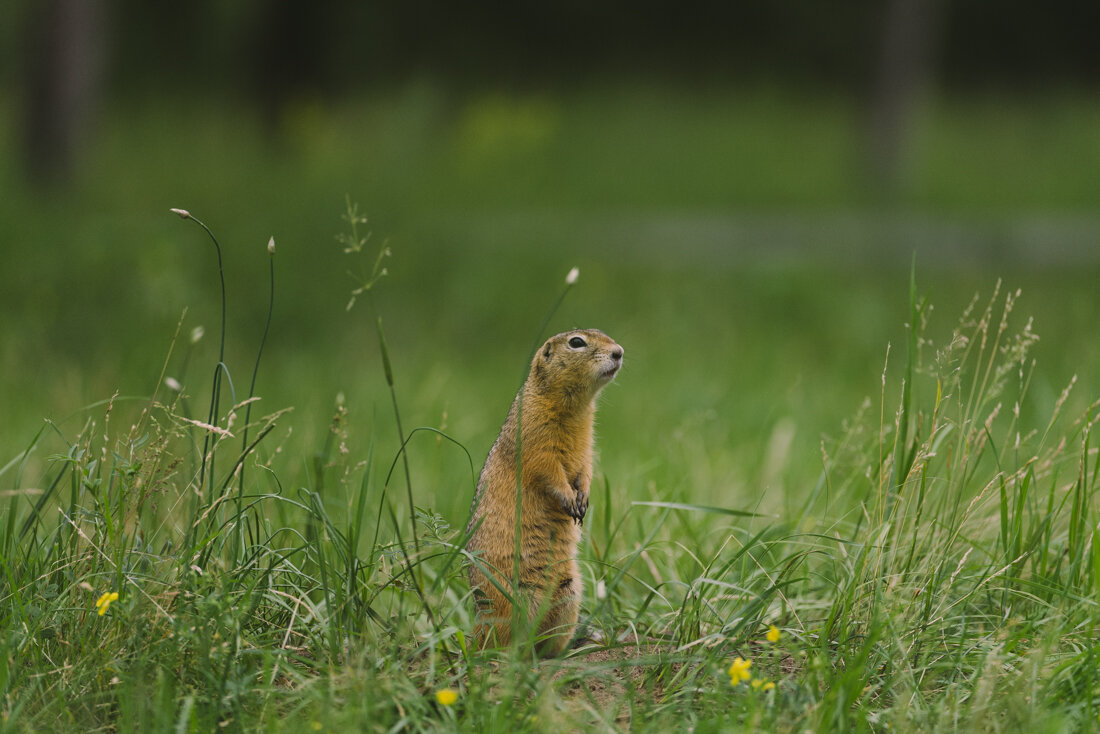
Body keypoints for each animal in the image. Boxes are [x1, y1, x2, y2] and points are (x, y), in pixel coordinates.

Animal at [464, 330, 620, 655]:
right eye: (576, 342)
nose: (619, 352)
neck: (576, 408)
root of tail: (479, 627)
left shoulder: (587, 446)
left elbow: (585, 470)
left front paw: (583, 499)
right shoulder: (535, 435)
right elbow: (547, 470)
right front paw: (569, 499)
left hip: (570, 593)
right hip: (514, 600)